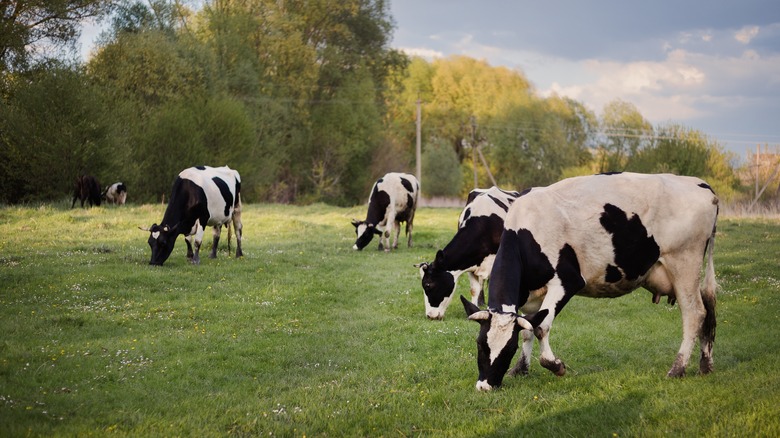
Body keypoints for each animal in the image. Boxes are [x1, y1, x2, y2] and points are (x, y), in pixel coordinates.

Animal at [461, 172, 719, 391]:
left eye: (508, 349)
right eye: (480, 344)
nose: (484, 386)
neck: (526, 231)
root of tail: (700, 185)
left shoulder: (567, 282)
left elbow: (542, 327)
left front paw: (555, 365)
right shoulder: (531, 296)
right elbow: (528, 329)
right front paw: (521, 369)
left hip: (684, 262)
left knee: (694, 313)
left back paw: (678, 368)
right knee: (708, 307)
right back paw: (705, 364)